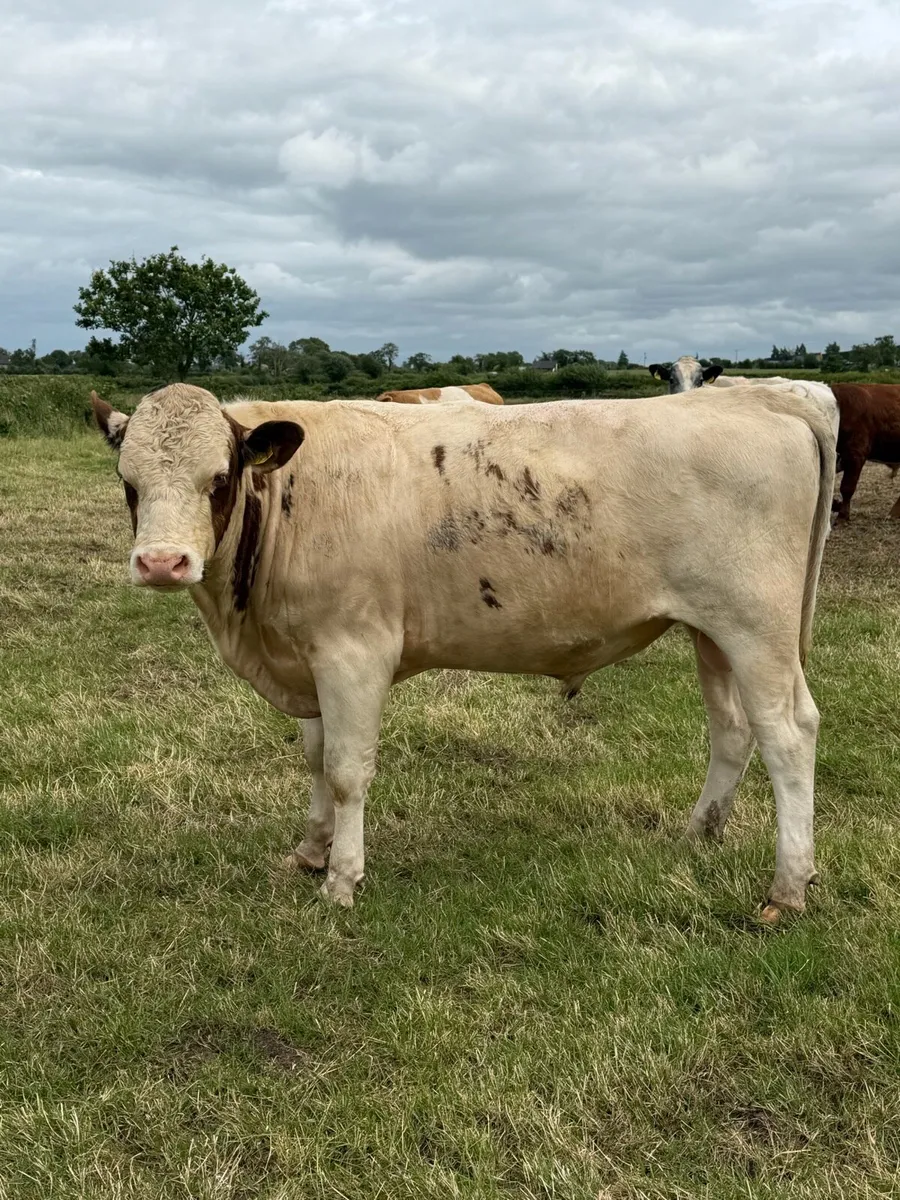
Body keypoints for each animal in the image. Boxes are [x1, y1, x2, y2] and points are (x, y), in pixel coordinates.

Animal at [91, 381, 836, 923]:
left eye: (218, 479)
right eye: (129, 483)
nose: (162, 562)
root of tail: (760, 393)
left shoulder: (352, 652)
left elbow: (347, 770)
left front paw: (342, 879)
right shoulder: (305, 654)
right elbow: (315, 759)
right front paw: (309, 849)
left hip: (756, 628)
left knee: (788, 733)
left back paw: (787, 886)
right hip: (712, 632)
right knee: (732, 730)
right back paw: (700, 831)